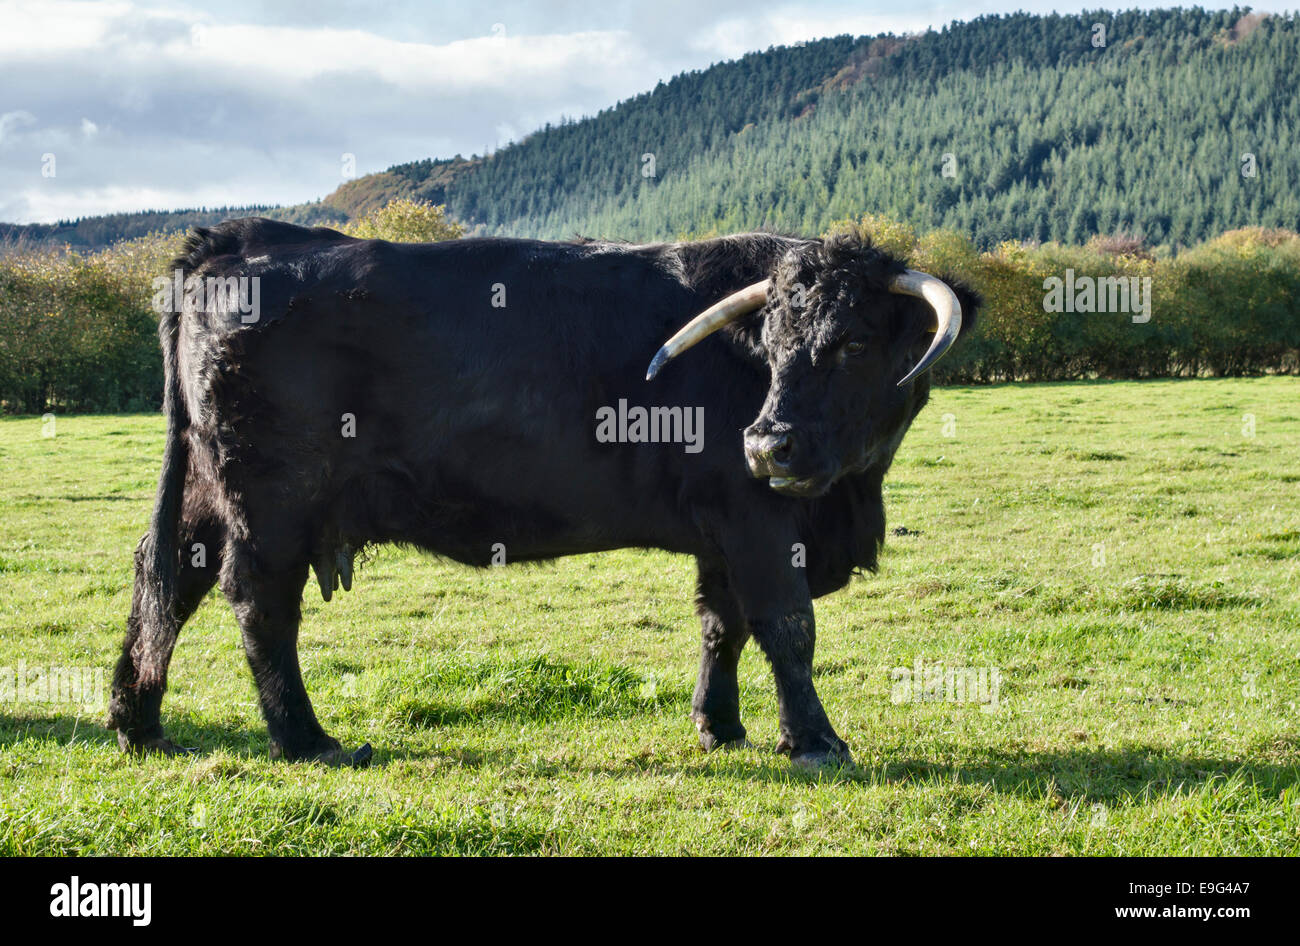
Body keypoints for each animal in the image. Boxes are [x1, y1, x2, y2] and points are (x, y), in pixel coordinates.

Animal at [109, 219, 977, 769]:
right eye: (771, 342)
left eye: (855, 341)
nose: (767, 444)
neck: (849, 496)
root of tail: (239, 236)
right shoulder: (758, 517)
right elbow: (786, 626)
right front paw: (816, 741)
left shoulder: (723, 527)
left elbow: (719, 624)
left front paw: (719, 727)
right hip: (274, 503)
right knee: (258, 602)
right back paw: (304, 740)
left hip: (206, 488)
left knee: (165, 578)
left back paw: (138, 723)